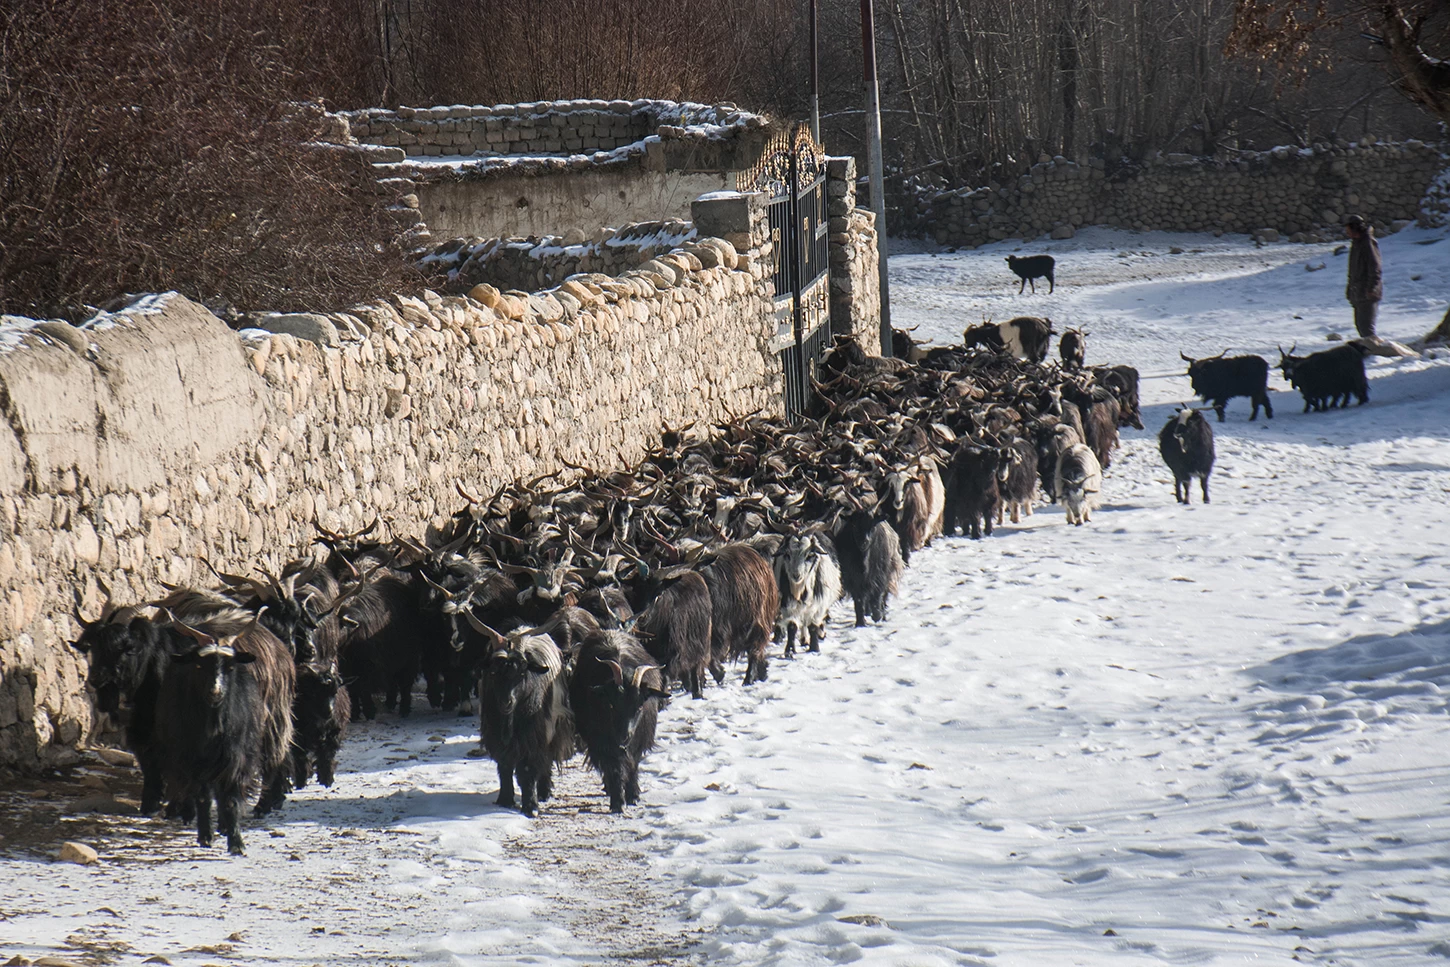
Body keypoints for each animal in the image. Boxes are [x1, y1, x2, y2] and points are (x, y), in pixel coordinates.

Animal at [571, 632, 672, 811]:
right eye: (611, 705)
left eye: (640, 706)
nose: (624, 736)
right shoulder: (603, 742)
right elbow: (614, 768)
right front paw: (617, 802)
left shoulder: (638, 740)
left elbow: (633, 764)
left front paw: (633, 795)